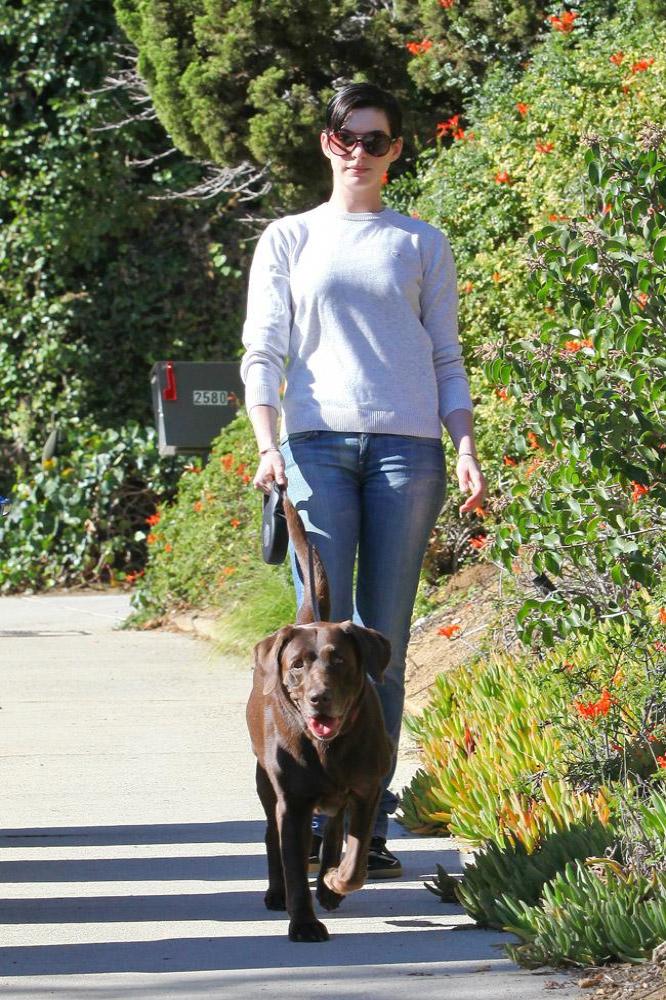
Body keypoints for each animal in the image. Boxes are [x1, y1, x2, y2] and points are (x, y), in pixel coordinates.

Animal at [244, 496, 390, 940]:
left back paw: (328, 883)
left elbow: (354, 860)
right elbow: (293, 865)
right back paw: (276, 893)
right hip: (265, 783)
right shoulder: (292, 804)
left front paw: (334, 882)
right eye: (297, 665)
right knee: (270, 836)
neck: (327, 747)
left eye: (338, 661)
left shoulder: (365, 791)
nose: (317, 698)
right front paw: (304, 923)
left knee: (332, 831)